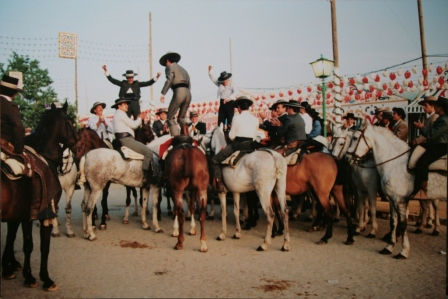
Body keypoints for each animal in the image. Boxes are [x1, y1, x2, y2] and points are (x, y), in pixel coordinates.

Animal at [0, 102, 77, 290]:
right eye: (70, 121)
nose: (78, 138)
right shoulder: (38, 213)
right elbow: (37, 245)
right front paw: (39, 277)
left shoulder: (20, 214)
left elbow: (16, 237)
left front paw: (10, 266)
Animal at [344, 124, 414, 260]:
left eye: (354, 138)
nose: (347, 158)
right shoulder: (360, 190)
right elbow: (362, 208)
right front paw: (360, 226)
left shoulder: (372, 190)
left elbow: (371, 209)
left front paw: (371, 231)